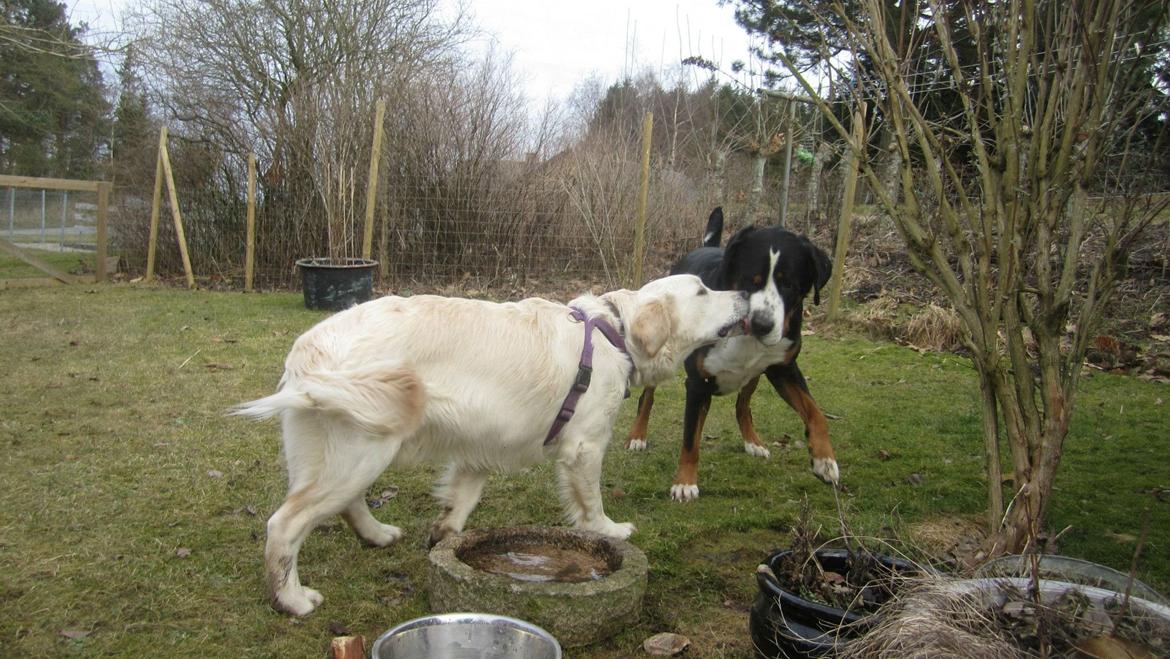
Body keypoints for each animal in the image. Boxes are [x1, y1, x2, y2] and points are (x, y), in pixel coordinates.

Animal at [235, 276, 748, 618]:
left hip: (352, 447)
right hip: (363, 445)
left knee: (344, 502)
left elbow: (461, 500)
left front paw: (445, 535)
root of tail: (308, 346)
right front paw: (609, 528)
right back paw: (292, 599)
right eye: (703, 291)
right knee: (285, 524)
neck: (613, 334)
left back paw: (376, 534)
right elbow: (590, 501)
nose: (745, 294)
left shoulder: (481, 442)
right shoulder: (585, 445)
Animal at [627, 206, 837, 500]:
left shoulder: (784, 368)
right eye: (750, 279)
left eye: (790, 286)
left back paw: (753, 442)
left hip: (754, 374)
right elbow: (690, 439)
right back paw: (637, 435)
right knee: (646, 397)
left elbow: (816, 413)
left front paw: (824, 460)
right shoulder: (698, 383)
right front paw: (685, 483)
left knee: (742, 405)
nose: (761, 324)